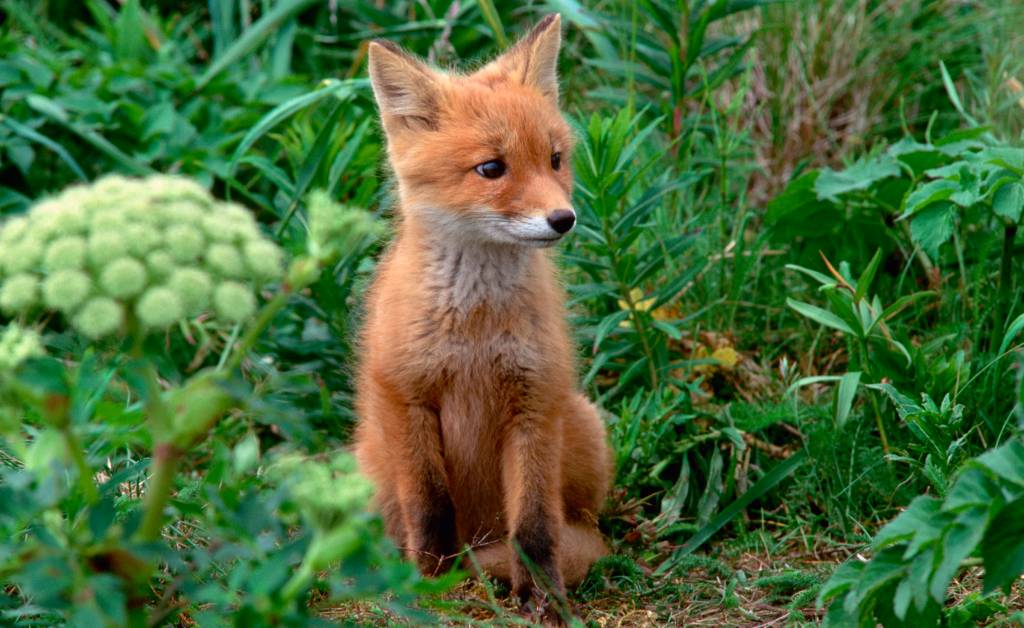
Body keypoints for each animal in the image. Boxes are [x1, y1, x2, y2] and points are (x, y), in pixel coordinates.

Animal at [353, 14, 612, 614]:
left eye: (555, 159)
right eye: (491, 168)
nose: (563, 218)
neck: (475, 330)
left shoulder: (534, 404)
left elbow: (536, 526)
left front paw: (544, 602)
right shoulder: (407, 398)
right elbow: (429, 509)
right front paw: (428, 587)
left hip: (582, 422)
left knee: (585, 530)